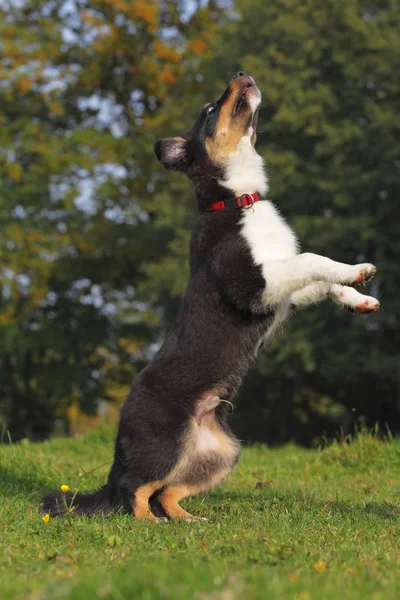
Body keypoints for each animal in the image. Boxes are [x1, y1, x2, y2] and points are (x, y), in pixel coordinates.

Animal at [42, 70, 380, 520]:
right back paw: (151, 524)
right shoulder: (252, 283)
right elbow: (313, 258)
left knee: (166, 492)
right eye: (208, 111)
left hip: (221, 453)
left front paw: (359, 298)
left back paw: (189, 520)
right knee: (134, 492)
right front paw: (359, 269)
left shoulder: (282, 290)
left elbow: (320, 280)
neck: (239, 199)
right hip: (164, 443)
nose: (240, 73)